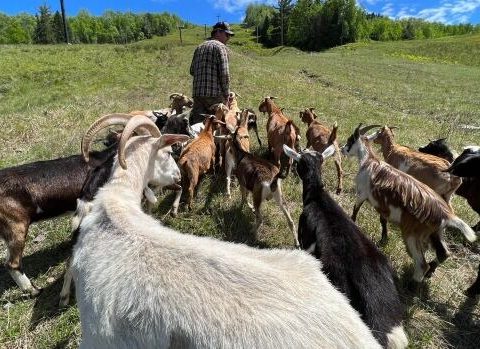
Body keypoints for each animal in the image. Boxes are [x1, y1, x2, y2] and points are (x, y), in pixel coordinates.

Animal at [70, 113, 382, 346]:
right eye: (166, 156)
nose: (176, 177)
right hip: (284, 209)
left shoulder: (100, 335)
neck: (115, 204)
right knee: (288, 219)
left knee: (258, 215)